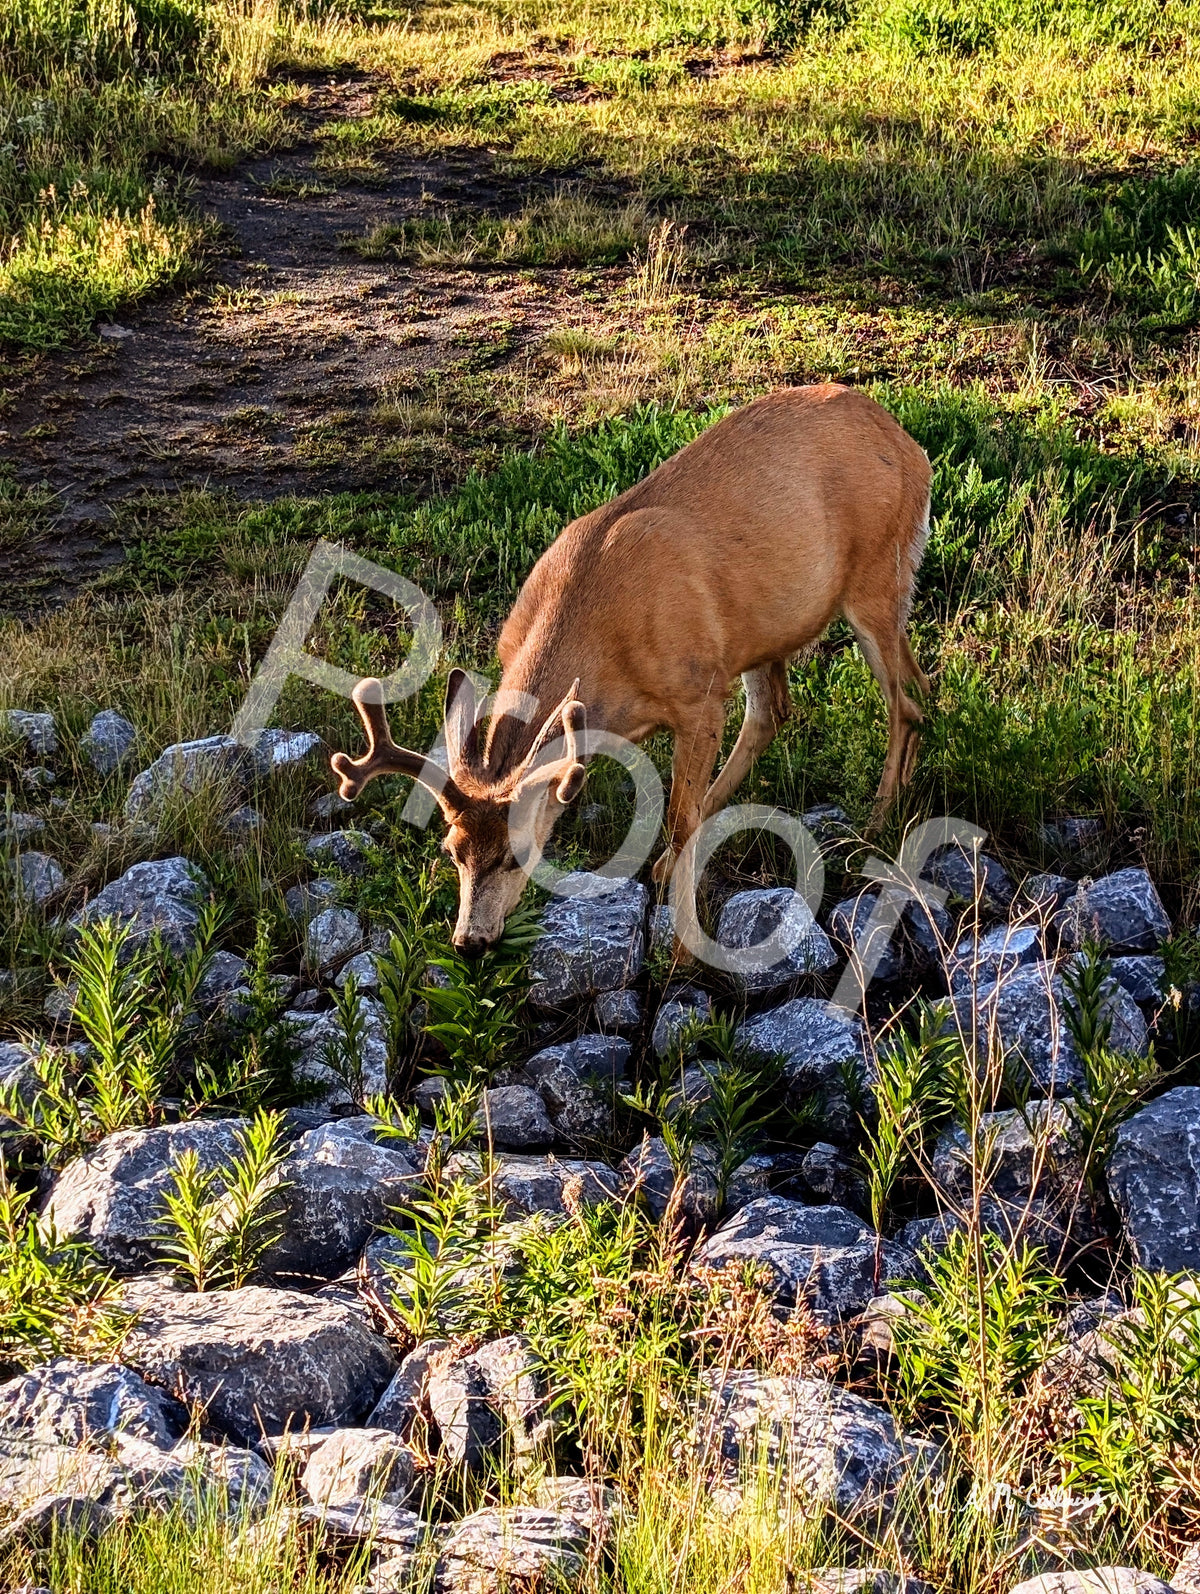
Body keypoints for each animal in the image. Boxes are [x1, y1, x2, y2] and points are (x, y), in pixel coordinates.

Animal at [330, 384, 932, 957]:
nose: (470, 942)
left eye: (515, 855)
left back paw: (877, 823)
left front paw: (684, 953)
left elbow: (679, 821)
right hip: (766, 631)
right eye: (450, 851)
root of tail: (911, 448)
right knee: (806, 704)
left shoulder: (698, 694)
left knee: (903, 701)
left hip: (877, 571)